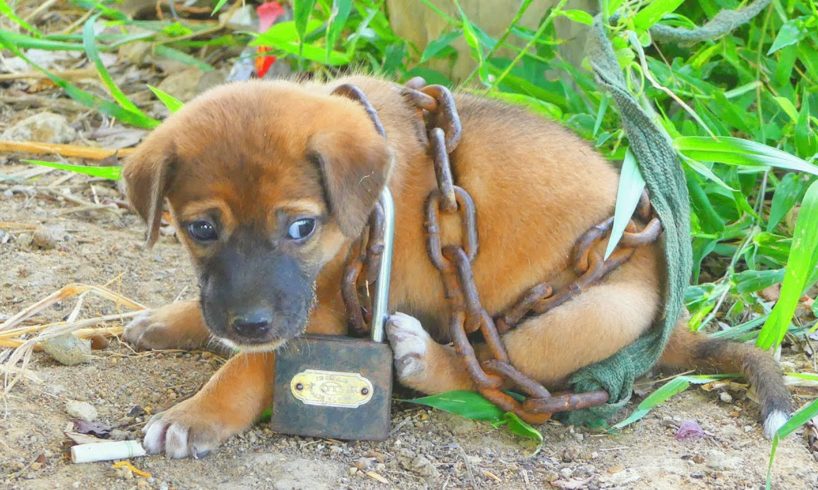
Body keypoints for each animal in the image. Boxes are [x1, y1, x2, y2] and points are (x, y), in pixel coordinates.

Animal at [122, 74, 792, 458]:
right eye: (200, 229)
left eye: (301, 228)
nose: (249, 324)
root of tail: (671, 323)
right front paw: (172, 320)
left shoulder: (325, 308)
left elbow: (249, 369)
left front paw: (196, 415)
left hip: (596, 316)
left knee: (501, 381)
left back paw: (426, 358)